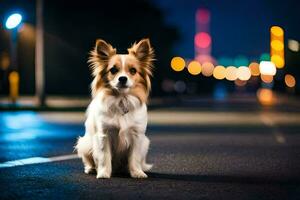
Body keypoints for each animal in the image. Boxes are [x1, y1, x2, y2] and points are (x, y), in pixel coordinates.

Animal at [75, 38, 155, 178]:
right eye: (113, 70)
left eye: (133, 71)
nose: (122, 78)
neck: (121, 100)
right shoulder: (104, 135)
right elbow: (104, 157)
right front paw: (103, 173)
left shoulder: (137, 136)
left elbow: (134, 157)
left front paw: (137, 172)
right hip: (85, 144)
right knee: (89, 160)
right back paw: (91, 169)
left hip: (145, 143)